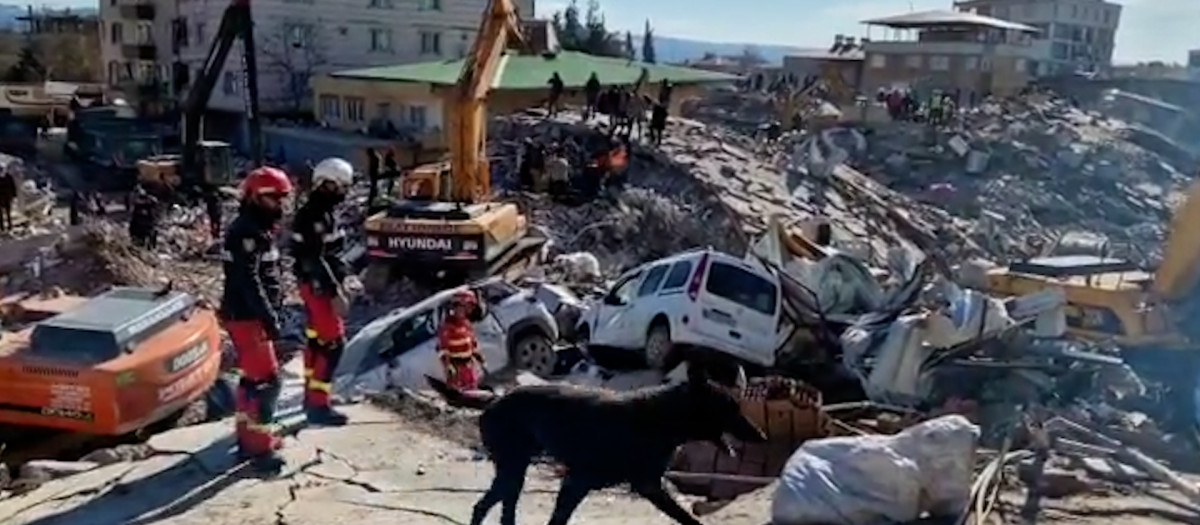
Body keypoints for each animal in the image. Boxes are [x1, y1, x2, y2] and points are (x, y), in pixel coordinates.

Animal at [432, 366, 763, 525]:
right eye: (730, 408)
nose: (761, 436)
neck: (663, 417)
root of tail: (494, 398)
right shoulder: (583, 482)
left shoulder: (592, 485)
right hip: (513, 469)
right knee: (490, 507)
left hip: (514, 471)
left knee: (496, 509)